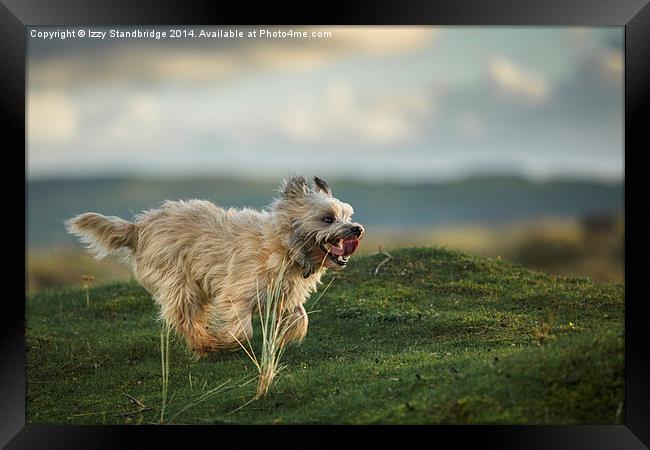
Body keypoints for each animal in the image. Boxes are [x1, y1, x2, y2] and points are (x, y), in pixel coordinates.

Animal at [66, 176, 364, 356]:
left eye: (347, 216)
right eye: (327, 219)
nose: (357, 229)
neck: (283, 245)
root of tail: (139, 228)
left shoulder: (284, 296)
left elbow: (300, 318)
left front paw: (282, 339)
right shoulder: (236, 294)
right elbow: (243, 331)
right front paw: (224, 341)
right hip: (181, 284)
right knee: (185, 319)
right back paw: (205, 343)